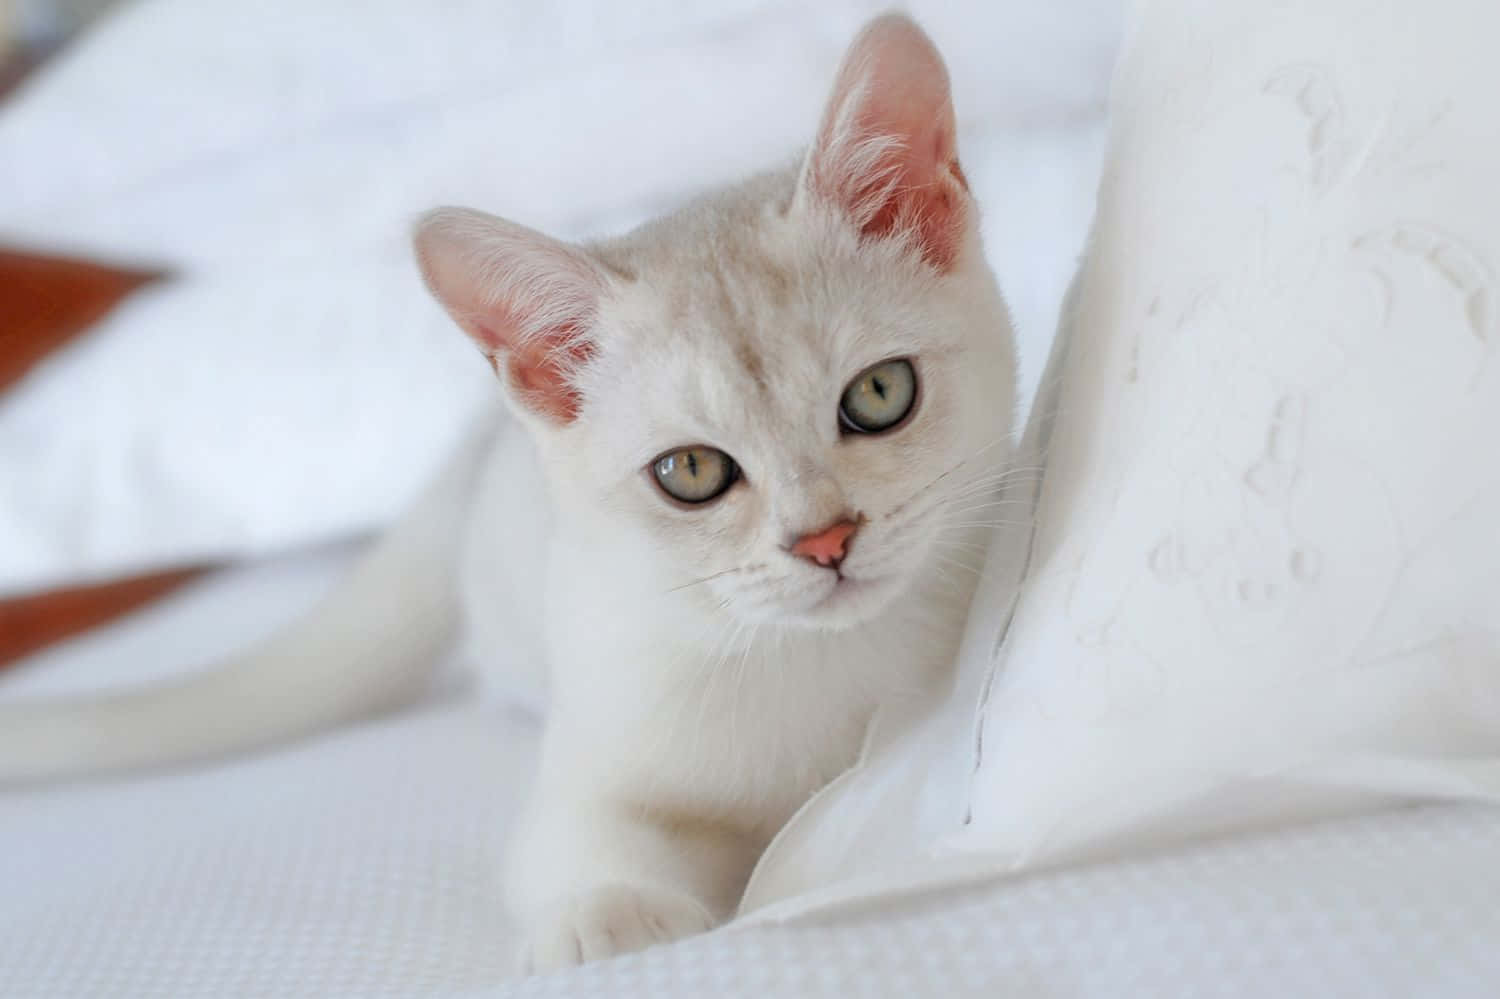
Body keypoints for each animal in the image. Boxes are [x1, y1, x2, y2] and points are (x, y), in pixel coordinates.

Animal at [0, 11, 1020, 966]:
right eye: (691, 472)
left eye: (879, 393)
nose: (824, 539)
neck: (817, 661)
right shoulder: (599, 740)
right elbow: (586, 837)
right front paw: (611, 916)